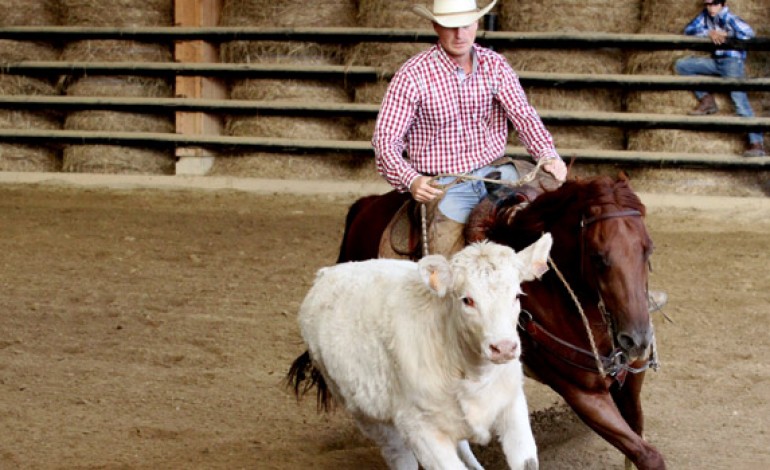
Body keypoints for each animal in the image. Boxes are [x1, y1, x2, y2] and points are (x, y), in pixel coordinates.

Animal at [296, 235, 552, 470]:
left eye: (517, 295)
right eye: (467, 300)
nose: (504, 347)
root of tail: (327, 273)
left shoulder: (512, 405)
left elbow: (527, 462)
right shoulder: (421, 429)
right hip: (365, 412)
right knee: (398, 454)